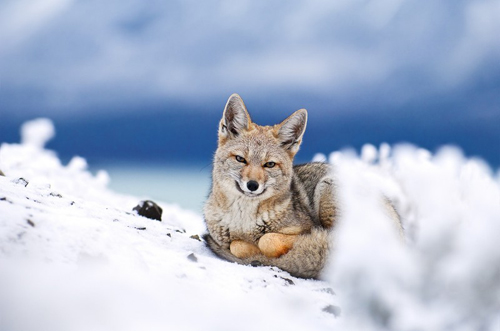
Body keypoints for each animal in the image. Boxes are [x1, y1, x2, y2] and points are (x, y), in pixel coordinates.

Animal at [203, 94, 402, 280]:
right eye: (240, 159)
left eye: (269, 164)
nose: (252, 185)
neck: (245, 222)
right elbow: (236, 245)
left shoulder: (303, 228)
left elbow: (267, 240)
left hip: (327, 187)